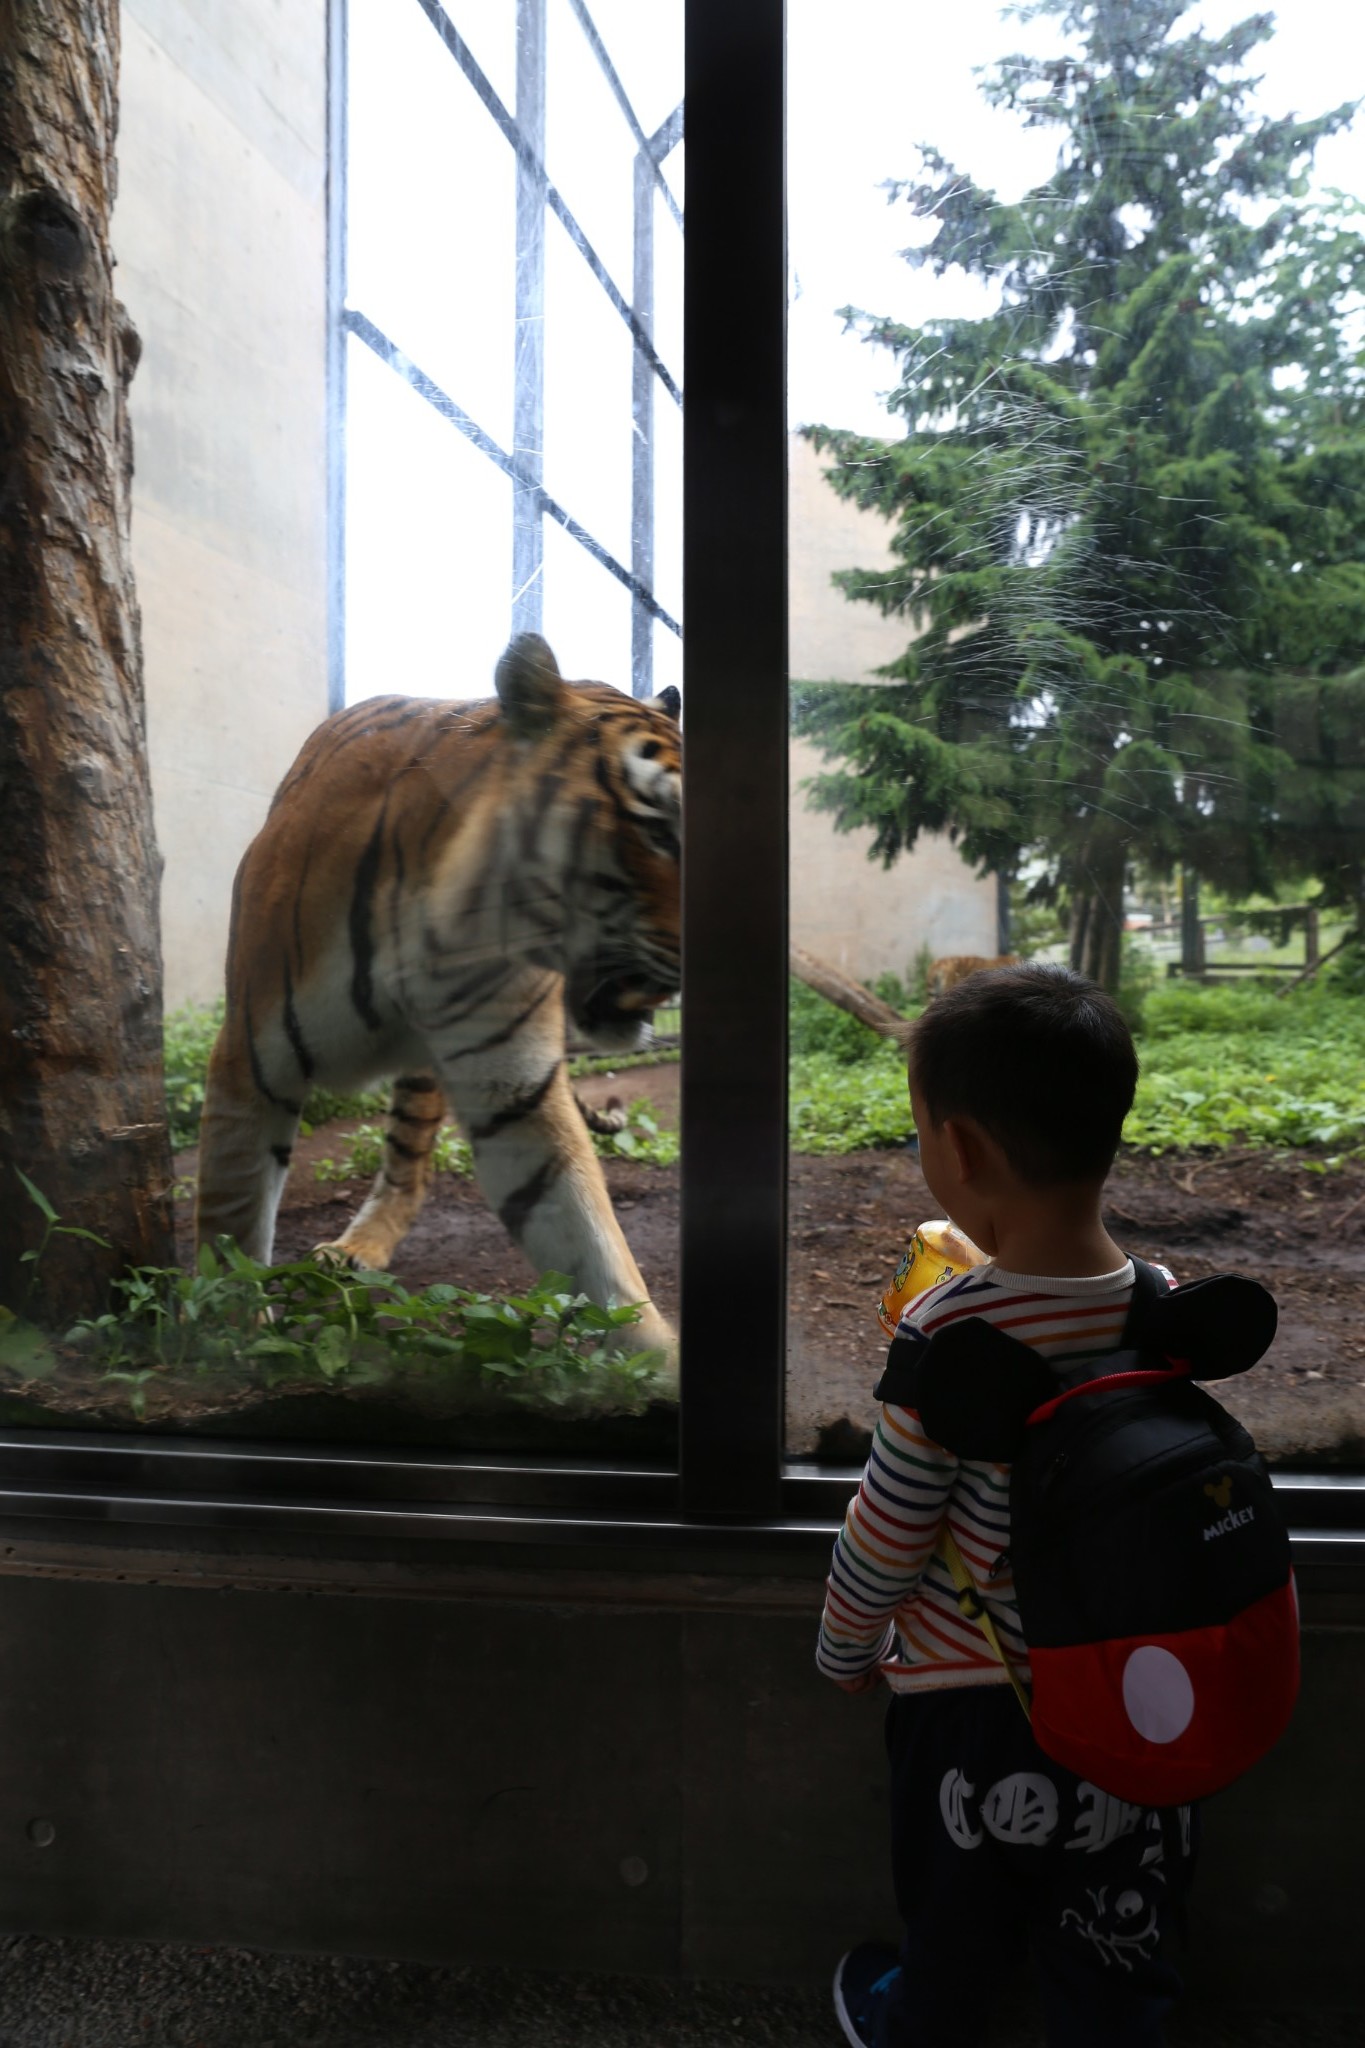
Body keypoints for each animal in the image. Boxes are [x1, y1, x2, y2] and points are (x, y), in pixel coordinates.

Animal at [192, 634, 683, 1376]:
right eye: (656, 826)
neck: (461, 927)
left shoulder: (516, 1094)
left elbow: (589, 1241)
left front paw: (658, 1367)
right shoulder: (249, 1062)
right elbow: (233, 1224)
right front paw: (226, 1343)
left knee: (408, 1170)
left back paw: (359, 1246)